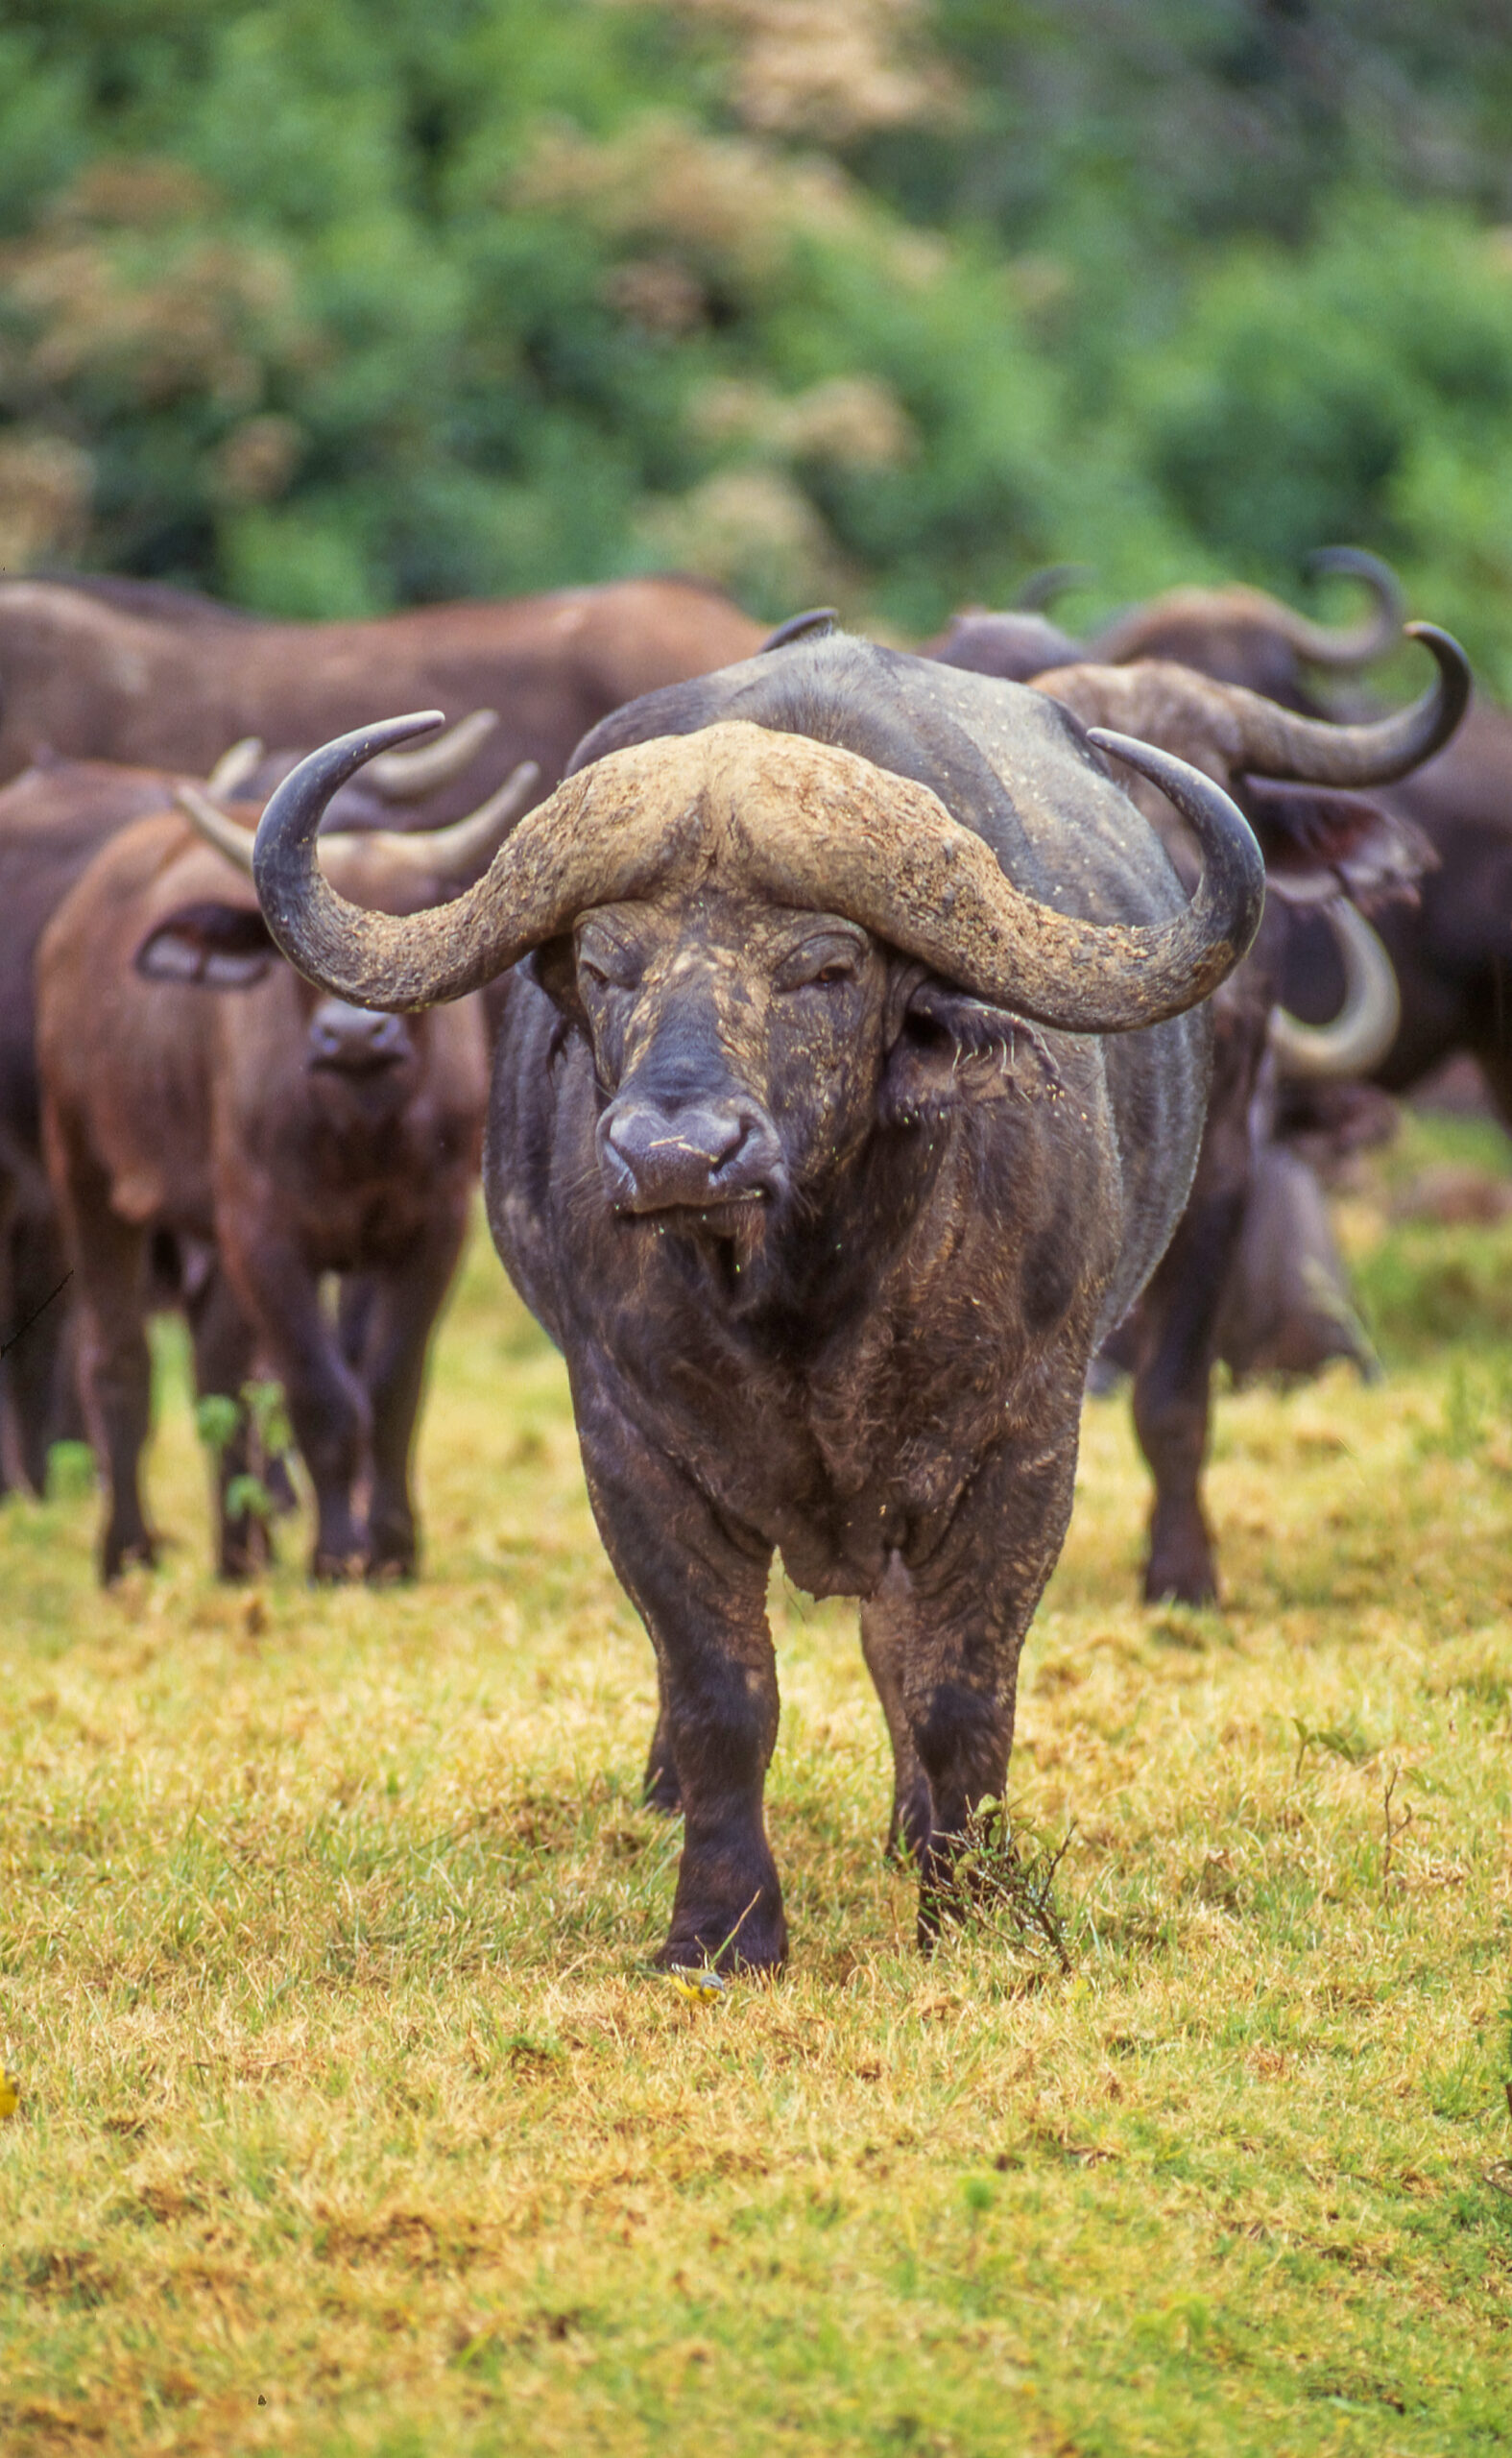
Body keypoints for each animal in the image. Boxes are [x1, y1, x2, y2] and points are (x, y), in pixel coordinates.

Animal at [34, 772, 533, 1582]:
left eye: (411, 910)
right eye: (290, 938)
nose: (355, 1035)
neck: (360, 1130)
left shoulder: (435, 1228)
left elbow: (390, 1386)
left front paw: (392, 1548)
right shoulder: (264, 1234)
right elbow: (317, 1392)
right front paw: (336, 1555)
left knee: (218, 1369)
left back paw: (243, 1553)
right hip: (83, 1171)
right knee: (119, 1361)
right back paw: (129, 1552)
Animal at [246, 633, 1269, 1965]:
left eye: (826, 967)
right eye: (604, 965)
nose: (678, 1155)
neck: (803, 1298)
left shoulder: (1026, 1438)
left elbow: (958, 1686)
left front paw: (971, 1907)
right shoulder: (626, 1441)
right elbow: (720, 1691)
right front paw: (722, 1929)